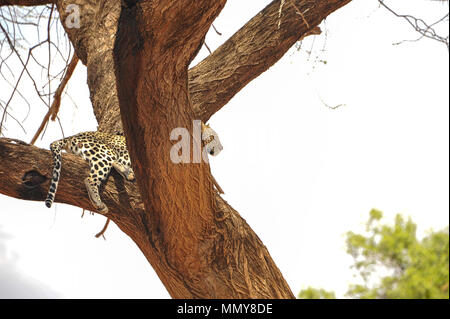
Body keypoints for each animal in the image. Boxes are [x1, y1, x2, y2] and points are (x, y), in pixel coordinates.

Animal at [44, 124, 222, 215]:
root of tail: (72, 137)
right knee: (89, 179)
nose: (221, 148)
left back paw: (127, 173)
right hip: (104, 153)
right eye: (214, 137)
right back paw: (99, 203)